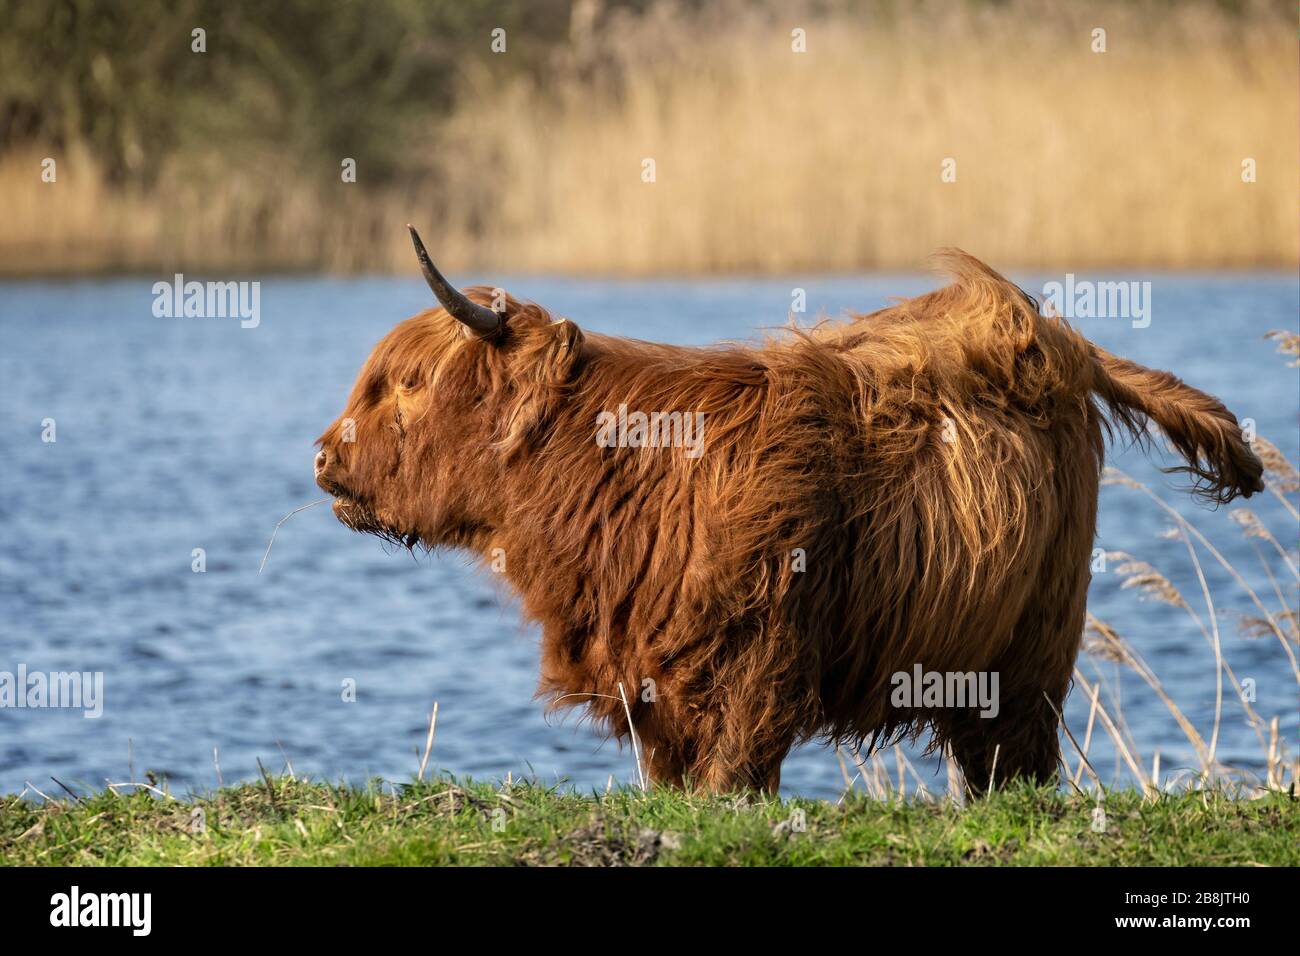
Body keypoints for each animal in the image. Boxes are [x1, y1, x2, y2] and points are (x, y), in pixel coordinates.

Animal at [314, 226, 1263, 793]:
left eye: (409, 383)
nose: (323, 456)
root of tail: (1050, 330)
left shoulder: (761, 651)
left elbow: (736, 769)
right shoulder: (648, 672)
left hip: (1036, 632)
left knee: (1014, 751)